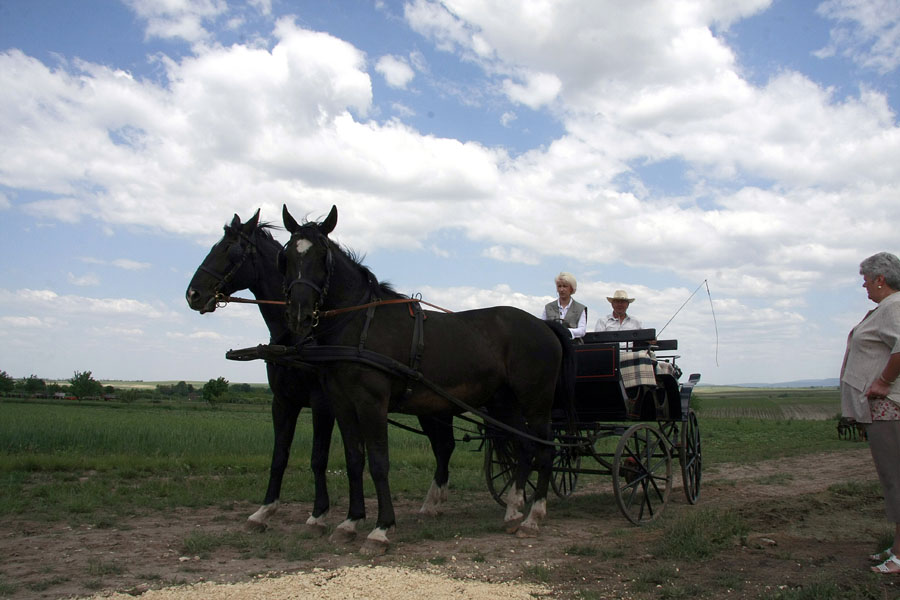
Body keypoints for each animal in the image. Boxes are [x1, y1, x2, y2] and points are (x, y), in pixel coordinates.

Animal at [282, 205, 572, 552]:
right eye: (287, 255)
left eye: (321, 255)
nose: (298, 313)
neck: (360, 326)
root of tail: (544, 326)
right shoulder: (343, 404)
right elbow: (354, 460)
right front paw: (350, 522)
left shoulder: (371, 404)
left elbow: (379, 463)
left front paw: (381, 529)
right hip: (505, 405)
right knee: (525, 448)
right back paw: (514, 511)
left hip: (536, 402)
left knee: (545, 449)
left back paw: (533, 517)